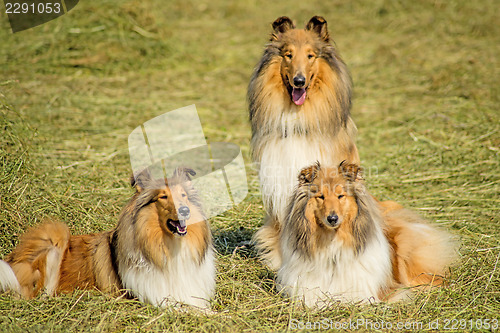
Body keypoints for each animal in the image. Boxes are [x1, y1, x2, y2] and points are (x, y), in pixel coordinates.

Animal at [0, 167, 215, 308]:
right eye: (163, 196)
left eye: (183, 195)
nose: (185, 211)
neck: (171, 247)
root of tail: (11, 259)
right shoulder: (159, 298)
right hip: (54, 235)